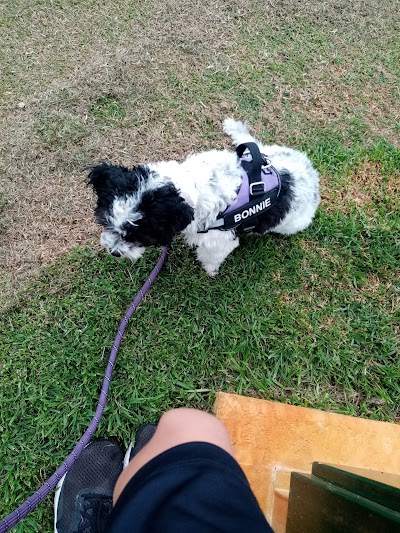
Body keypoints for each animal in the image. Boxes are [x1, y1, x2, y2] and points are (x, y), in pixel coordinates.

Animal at [87, 119, 318, 276]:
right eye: (105, 223)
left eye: (139, 235)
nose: (114, 252)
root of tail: (313, 176)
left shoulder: (219, 239)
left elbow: (211, 256)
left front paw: (209, 269)